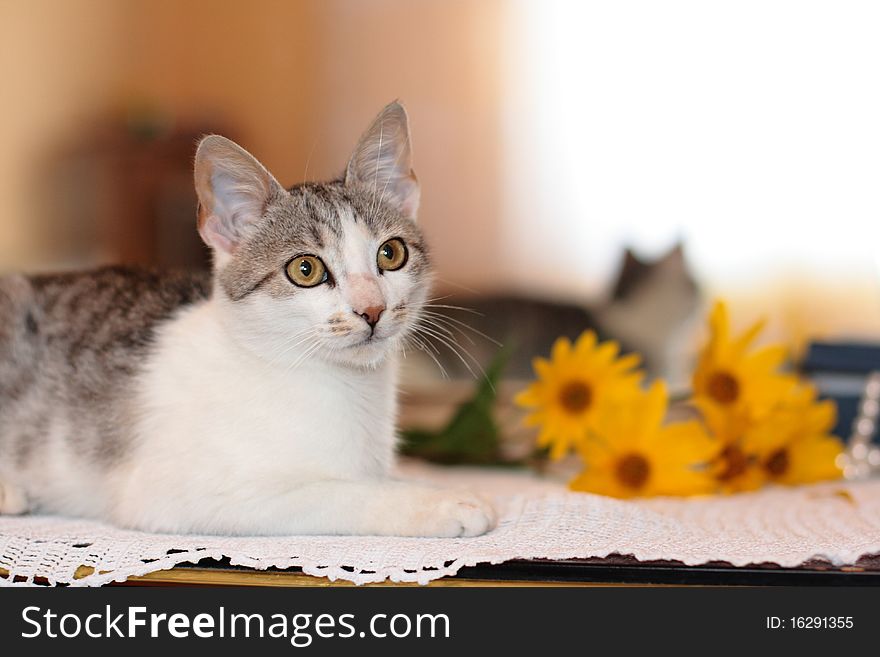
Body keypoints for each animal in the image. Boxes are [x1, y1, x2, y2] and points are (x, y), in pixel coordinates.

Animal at [0, 101, 496, 532]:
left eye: (391, 254)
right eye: (305, 269)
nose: (371, 308)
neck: (339, 386)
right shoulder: (179, 492)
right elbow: (339, 493)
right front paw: (442, 502)